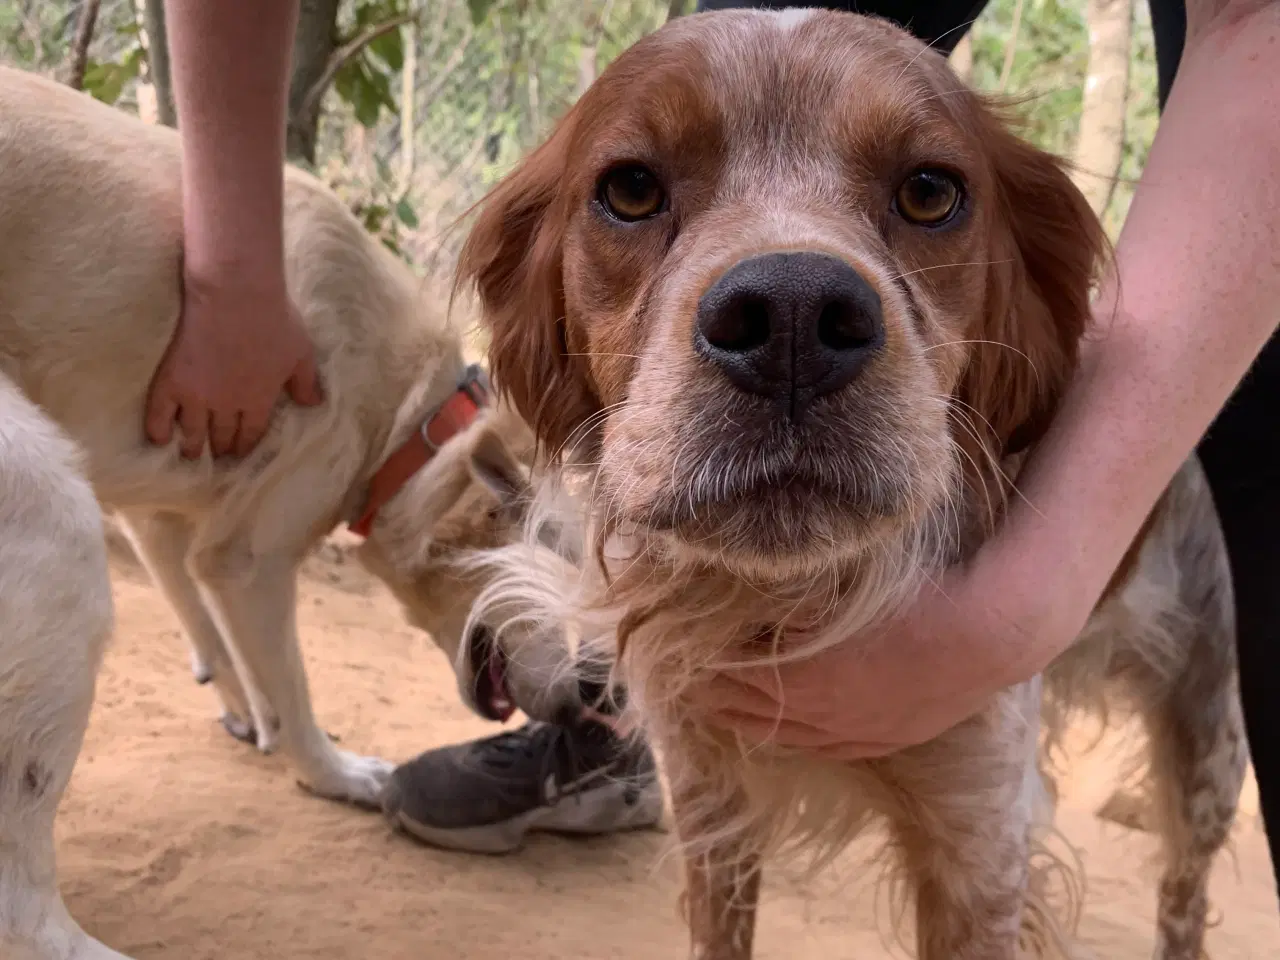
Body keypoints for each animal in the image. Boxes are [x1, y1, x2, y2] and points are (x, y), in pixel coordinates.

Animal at [0, 67, 576, 960]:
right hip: (49, 520)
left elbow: (217, 634)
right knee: (20, 900)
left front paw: (246, 711)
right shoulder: (249, 558)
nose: (595, 703)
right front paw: (330, 771)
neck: (409, 421)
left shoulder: (163, 522)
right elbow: (296, 689)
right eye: (567, 562)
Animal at [460, 9, 1249, 960]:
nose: (792, 317)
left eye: (930, 192)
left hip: (1205, 748)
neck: (783, 609)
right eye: (634, 189)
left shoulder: (982, 841)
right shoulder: (708, 800)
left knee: (1184, 893)